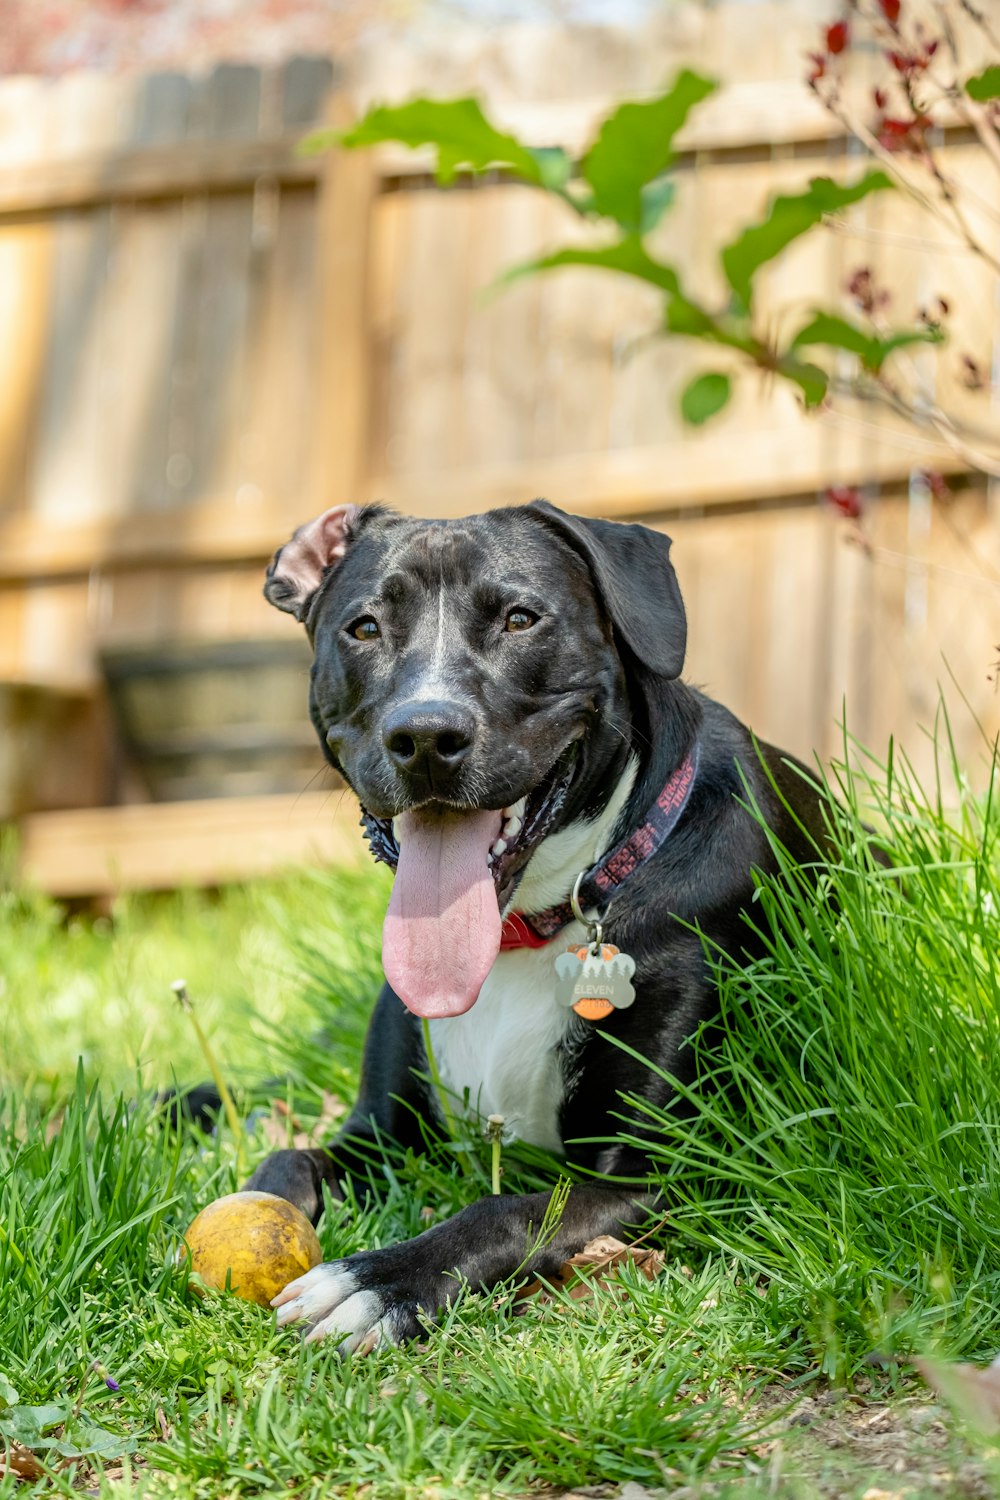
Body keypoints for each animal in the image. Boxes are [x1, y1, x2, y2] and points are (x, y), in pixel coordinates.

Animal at [251, 501, 827, 1350]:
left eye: (521, 618)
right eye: (364, 627)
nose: (426, 737)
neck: (525, 928)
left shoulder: (665, 1169)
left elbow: (509, 1209)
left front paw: (379, 1280)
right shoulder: (381, 1136)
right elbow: (286, 1161)